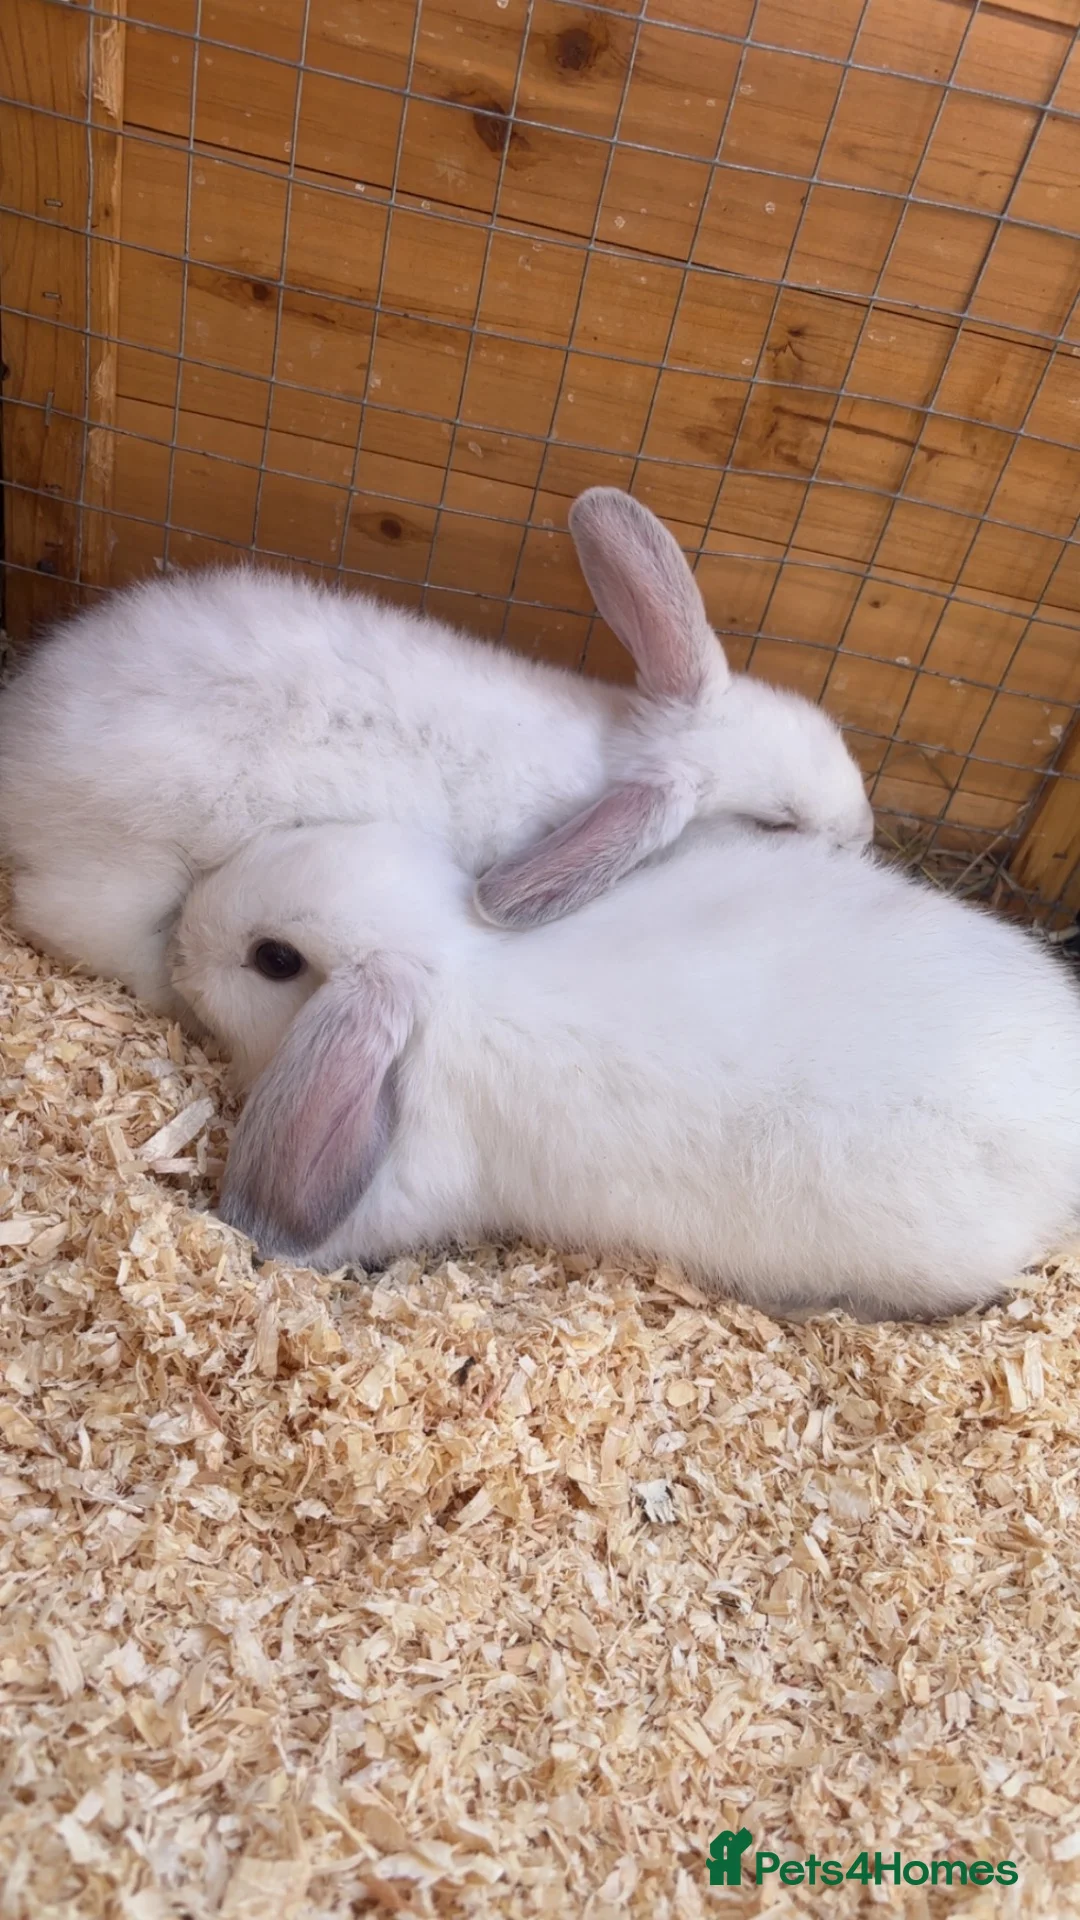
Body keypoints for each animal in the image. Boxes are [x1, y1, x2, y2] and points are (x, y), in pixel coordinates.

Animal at [0, 488, 872, 1024]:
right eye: (778, 824)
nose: (865, 834)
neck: (612, 761)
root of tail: (24, 745)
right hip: (132, 861)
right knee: (68, 918)